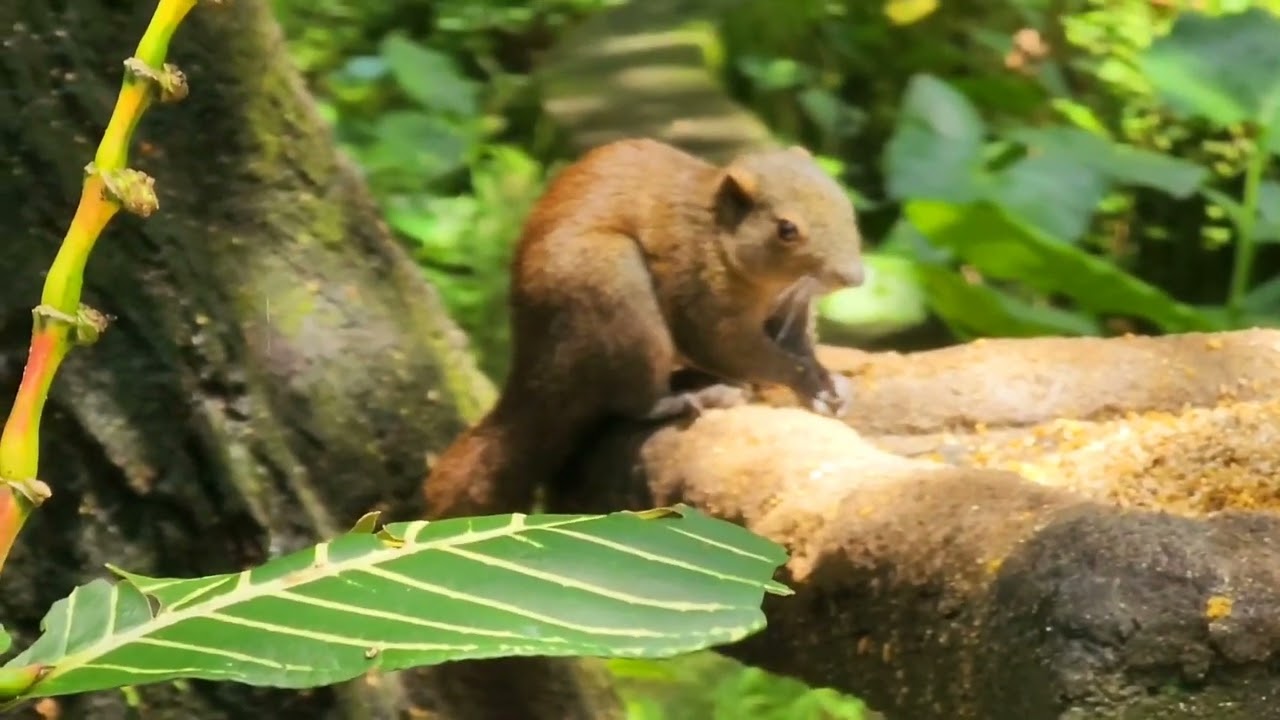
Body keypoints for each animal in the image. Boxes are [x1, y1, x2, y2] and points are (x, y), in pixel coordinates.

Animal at [423, 138, 864, 519]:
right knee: (634, 402)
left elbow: (798, 348)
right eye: (786, 229)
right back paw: (695, 396)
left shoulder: (792, 311)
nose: (855, 277)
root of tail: (536, 372)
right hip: (616, 294)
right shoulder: (702, 298)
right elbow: (739, 352)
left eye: (847, 208)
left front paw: (830, 385)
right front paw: (807, 381)